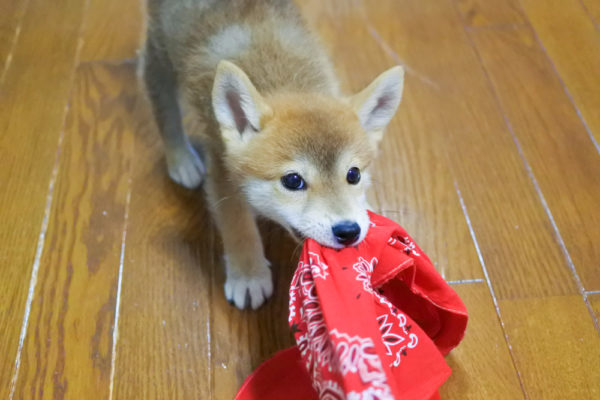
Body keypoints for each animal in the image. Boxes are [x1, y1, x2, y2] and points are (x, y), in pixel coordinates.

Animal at [144, 0, 406, 310]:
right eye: (293, 181)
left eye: (353, 175)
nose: (348, 231)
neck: (286, 78)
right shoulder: (222, 171)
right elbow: (238, 226)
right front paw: (248, 274)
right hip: (161, 53)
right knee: (160, 100)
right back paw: (181, 158)